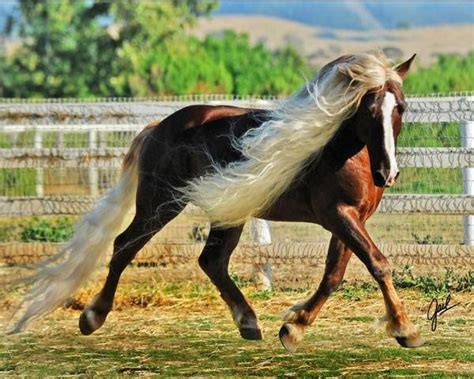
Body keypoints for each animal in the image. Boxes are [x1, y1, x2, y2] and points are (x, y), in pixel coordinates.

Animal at [8, 52, 422, 354]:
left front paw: (293, 329)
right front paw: (405, 329)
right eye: (368, 108)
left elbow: (334, 275)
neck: (342, 150)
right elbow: (378, 264)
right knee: (125, 245)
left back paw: (249, 322)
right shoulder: (337, 215)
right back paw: (93, 316)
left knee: (212, 261)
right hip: (160, 204)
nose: (388, 172)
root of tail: (156, 128)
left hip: (228, 212)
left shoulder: (352, 219)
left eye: (400, 106)